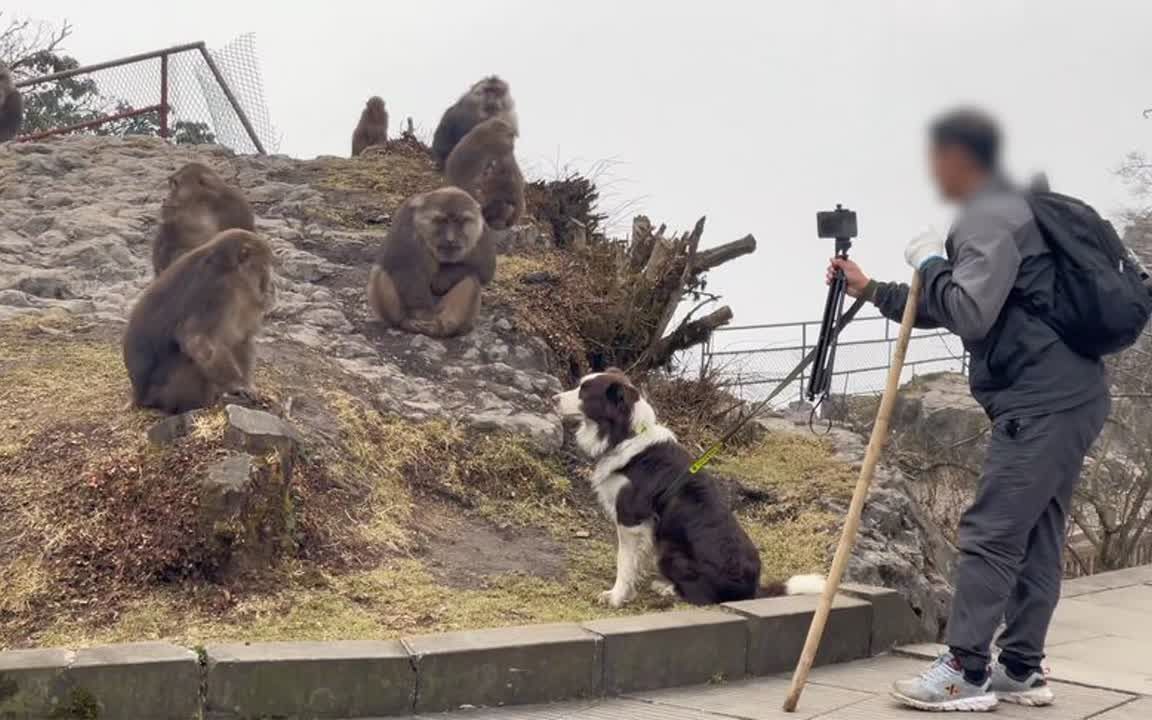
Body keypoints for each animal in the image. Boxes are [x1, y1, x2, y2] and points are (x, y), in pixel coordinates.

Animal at [123, 226, 274, 412]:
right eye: (264, 267)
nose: (270, 285)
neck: (230, 271)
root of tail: (138, 395)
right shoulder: (218, 292)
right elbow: (197, 340)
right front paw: (238, 385)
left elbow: (242, 339)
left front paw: (248, 385)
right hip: (163, 393)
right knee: (191, 360)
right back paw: (204, 403)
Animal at [368, 187, 495, 338]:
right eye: (442, 220)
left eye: (460, 221)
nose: (450, 239)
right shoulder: (406, 218)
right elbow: (400, 264)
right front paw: (420, 312)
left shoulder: (482, 230)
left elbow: (484, 268)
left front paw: (440, 281)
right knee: (380, 272)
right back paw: (404, 322)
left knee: (471, 278)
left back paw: (446, 327)